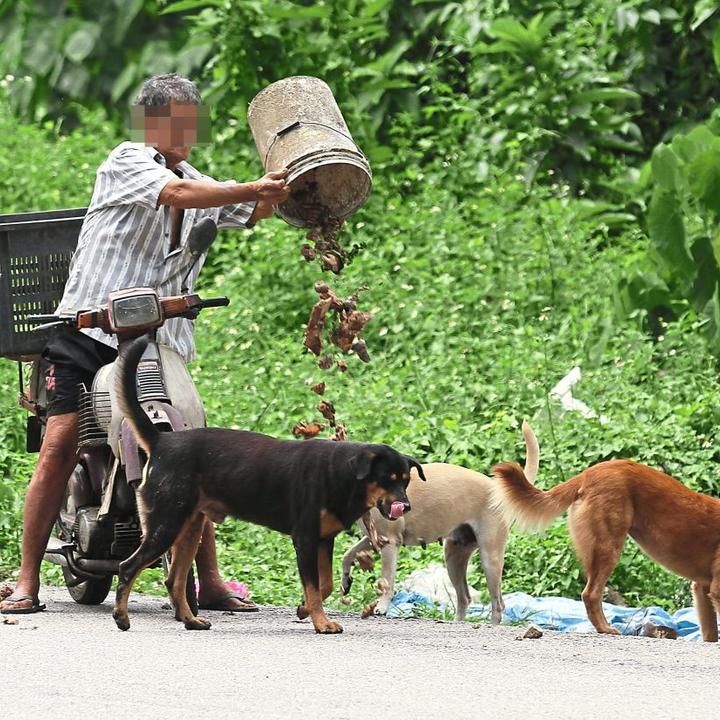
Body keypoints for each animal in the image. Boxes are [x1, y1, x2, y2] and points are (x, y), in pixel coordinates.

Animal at [113, 334, 424, 632]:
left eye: (406, 481)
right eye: (387, 480)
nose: (407, 506)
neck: (341, 475)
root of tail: (161, 440)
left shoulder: (324, 540)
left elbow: (324, 585)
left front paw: (304, 609)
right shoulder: (305, 538)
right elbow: (314, 586)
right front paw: (321, 623)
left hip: (190, 527)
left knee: (174, 579)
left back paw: (191, 620)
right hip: (165, 523)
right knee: (128, 567)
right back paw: (122, 617)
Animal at [344, 424, 540, 620]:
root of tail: (497, 488)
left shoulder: (390, 543)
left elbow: (386, 580)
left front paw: (382, 606)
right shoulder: (374, 538)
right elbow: (348, 554)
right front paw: (345, 581)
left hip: (490, 558)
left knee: (498, 604)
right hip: (454, 557)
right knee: (464, 597)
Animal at [492, 456, 720, 640]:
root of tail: (588, 473)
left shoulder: (702, 589)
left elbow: (710, 634)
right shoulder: (716, 590)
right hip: (608, 547)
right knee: (590, 594)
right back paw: (605, 628)